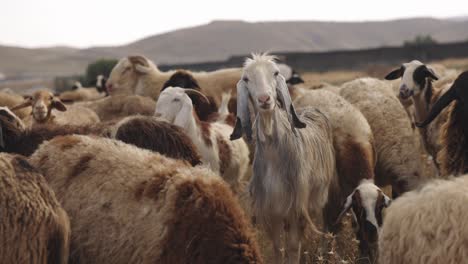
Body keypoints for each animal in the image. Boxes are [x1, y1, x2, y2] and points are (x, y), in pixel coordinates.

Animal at [230, 54, 336, 264]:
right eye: (246, 78)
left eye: (275, 72)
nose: (264, 99)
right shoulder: (273, 211)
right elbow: (278, 248)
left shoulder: (296, 207)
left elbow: (293, 248)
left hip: (320, 197)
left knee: (323, 226)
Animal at [294, 88, 390, 260]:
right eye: (359, 206)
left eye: (380, 206)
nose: (373, 234)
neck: (353, 143)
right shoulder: (332, 196)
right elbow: (332, 225)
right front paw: (326, 254)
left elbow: (356, 227)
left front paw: (365, 254)